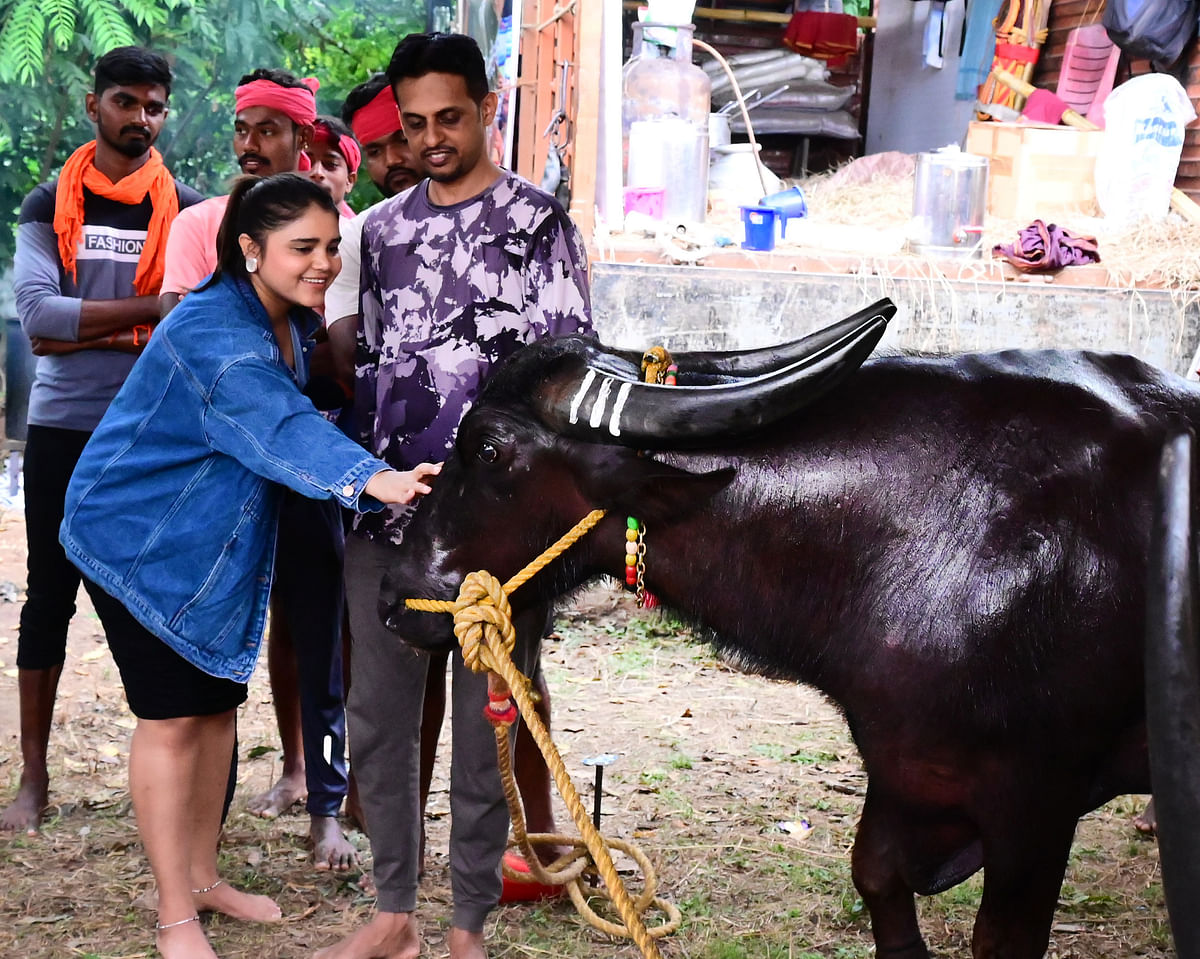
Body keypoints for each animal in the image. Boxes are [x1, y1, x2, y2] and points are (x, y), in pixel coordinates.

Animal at [379, 302, 1195, 959]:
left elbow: (1000, 938)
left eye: (489, 447)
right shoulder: (900, 768)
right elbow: (876, 877)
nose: (393, 595)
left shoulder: (1038, 801)